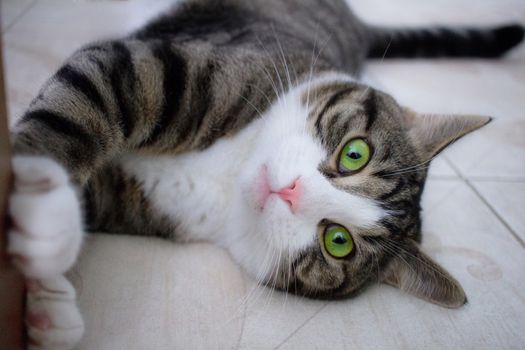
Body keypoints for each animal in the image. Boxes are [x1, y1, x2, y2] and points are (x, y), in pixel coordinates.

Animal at [6, 0, 520, 348]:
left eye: (338, 241)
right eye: (355, 154)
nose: (291, 191)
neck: (230, 172)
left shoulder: (146, 197)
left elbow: (87, 196)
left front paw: (46, 300)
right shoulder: (170, 71)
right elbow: (81, 105)